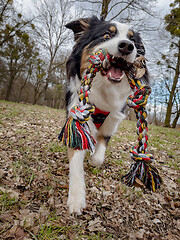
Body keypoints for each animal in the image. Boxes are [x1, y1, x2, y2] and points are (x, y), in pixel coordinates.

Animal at [64, 15, 148, 215]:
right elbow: (77, 158)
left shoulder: (112, 122)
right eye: (107, 35)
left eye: (133, 41)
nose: (126, 46)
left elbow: (98, 156)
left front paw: (93, 158)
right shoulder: (77, 117)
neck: (103, 91)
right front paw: (76, 198)